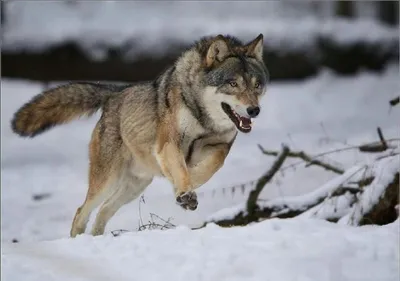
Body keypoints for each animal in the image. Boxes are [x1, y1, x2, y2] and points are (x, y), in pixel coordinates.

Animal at [10, 33, 270, 236]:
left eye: (257, 85)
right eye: (233, 84)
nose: (254, 110)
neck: (204, 120)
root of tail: (114, 93)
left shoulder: (221, 146)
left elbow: (212, 166)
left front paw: (185, 188)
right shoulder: (168, 144)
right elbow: (183, 170)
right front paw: (184, 191)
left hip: (134, 188)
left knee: (103, 211)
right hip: (107, 181)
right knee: (81, 212)